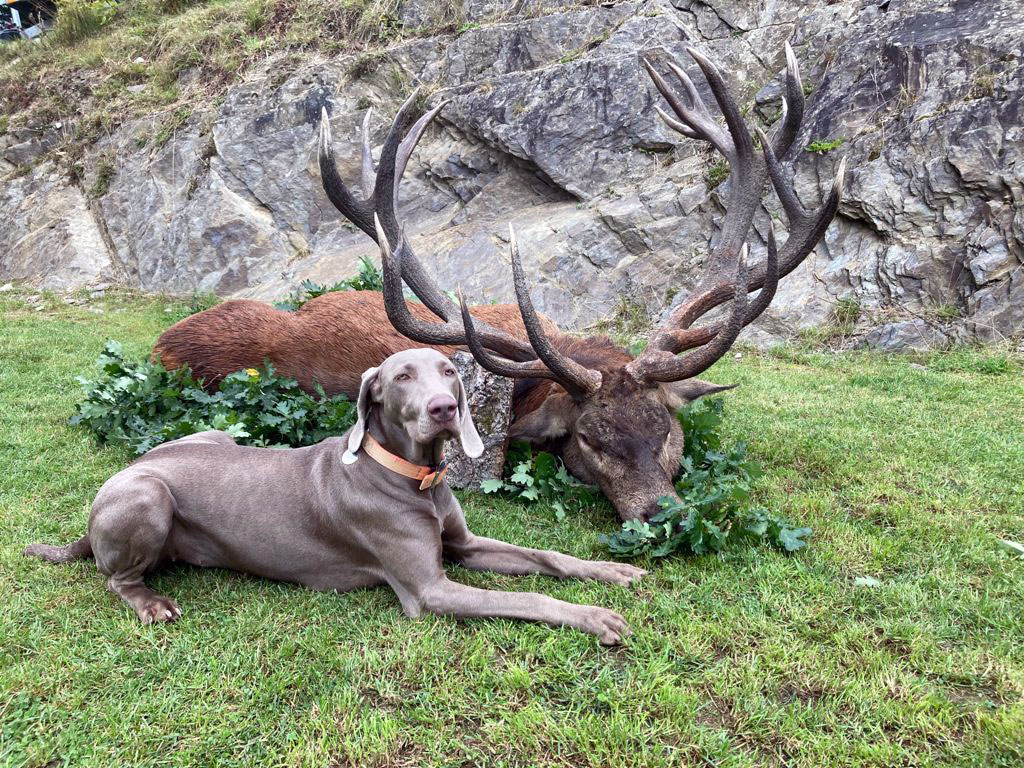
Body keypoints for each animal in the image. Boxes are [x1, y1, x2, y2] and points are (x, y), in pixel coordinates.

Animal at [28, 348, 643, 643]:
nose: (444, 408)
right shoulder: (430, 591)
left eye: (449, 370)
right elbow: (527, 597)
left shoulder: (464, 546)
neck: (415, 478)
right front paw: (595, 618)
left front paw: (611, 571)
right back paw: (151, 602)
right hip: (148, 496)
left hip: (215, 436)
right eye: (401, 378)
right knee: (117, 577)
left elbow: (546, 557)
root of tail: (131, 467)